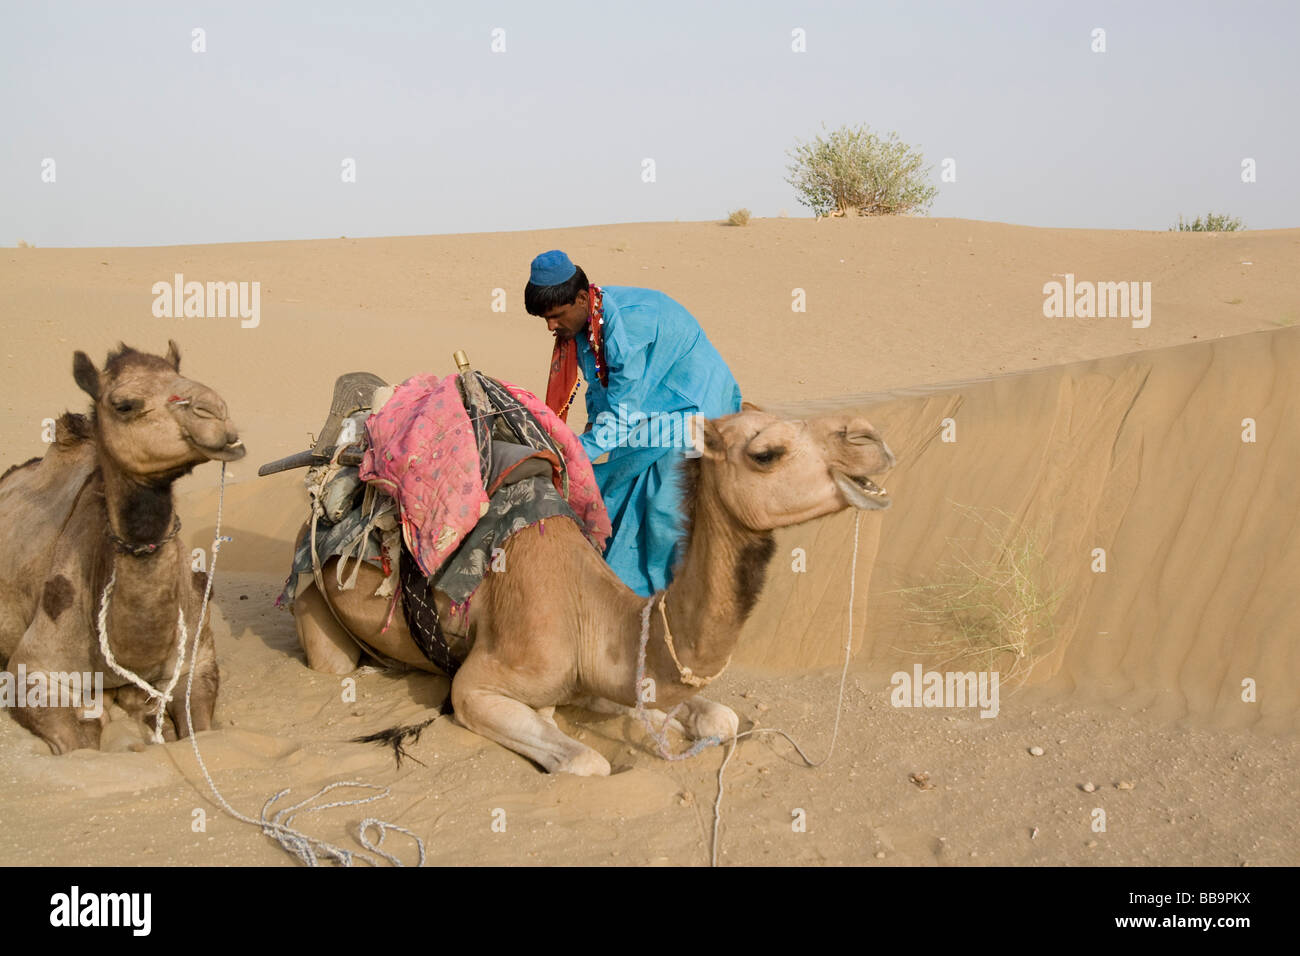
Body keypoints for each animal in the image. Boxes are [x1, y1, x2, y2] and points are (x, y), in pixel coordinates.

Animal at [0, 343, 245, 754]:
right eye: (125, 404)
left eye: (180, 376)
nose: (215, 412)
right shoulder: (32, 670)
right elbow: (78, 744)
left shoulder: (198, 661)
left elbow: (199, 727)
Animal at [292, 405, 894, 780]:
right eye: (767, 452)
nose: (873, 439)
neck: (592, 614)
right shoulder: (478, 685)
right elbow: (588, 762)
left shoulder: (614, 677)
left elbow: (719, 719)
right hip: (313, 607)